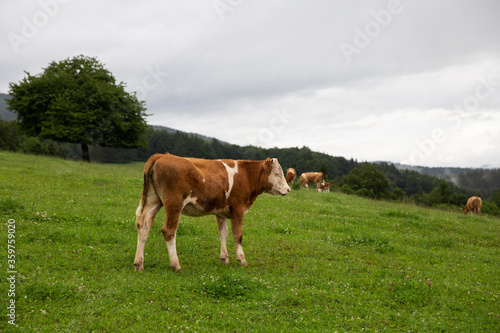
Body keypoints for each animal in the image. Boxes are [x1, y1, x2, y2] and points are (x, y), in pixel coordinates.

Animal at [133, 152, 292, 270]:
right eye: (277, 174)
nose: (288, 189)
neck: (246, 175)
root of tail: (161, 155)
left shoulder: (220, 212)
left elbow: (223, 234)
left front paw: (224, 258)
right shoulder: (238, 209)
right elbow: (238, 235)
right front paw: (242, 259)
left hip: (153, 200)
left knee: (143, 226)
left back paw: (139, 263)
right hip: (174, 204)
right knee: (169, 231)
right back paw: (175, 264)